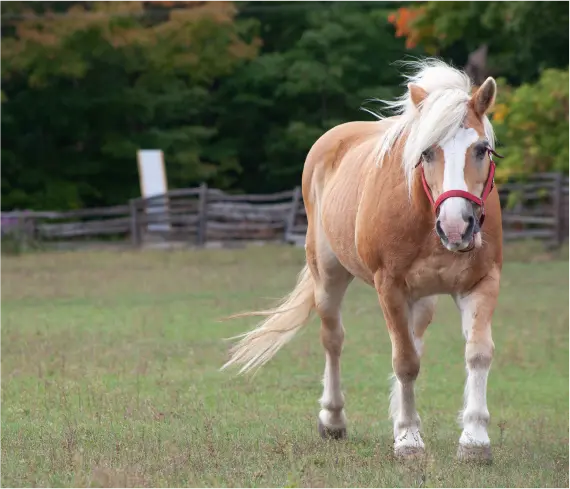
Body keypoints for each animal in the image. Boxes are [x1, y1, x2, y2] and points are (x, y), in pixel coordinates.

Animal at [222, 57, 502, 462]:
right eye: (426, 152)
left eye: (481, 149)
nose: (455, 226)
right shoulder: (390, 287)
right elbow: (405, 362)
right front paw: (408, 439)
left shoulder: (482, 283)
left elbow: (477, 353)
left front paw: (475, 439)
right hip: (328, 276)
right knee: (333, 339)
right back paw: (333, 419)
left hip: (423, 298)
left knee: (413, 339)